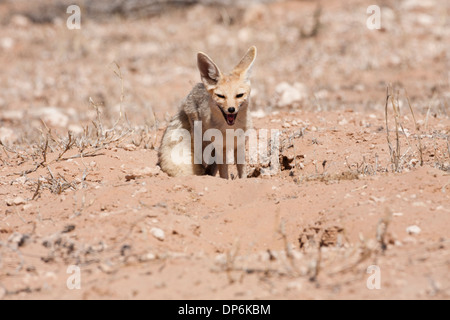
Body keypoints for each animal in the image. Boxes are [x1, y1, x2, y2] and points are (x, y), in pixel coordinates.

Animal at [158, 46, 256, 179]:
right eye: (221, 96)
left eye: (239, 95)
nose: (231, 109)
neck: (231, 129)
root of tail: (196, 88)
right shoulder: (220, 148)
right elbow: (223, 172)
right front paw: (225, 180)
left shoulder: (240, 145)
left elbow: (242, 170)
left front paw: (242, 180)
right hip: (201, 138)